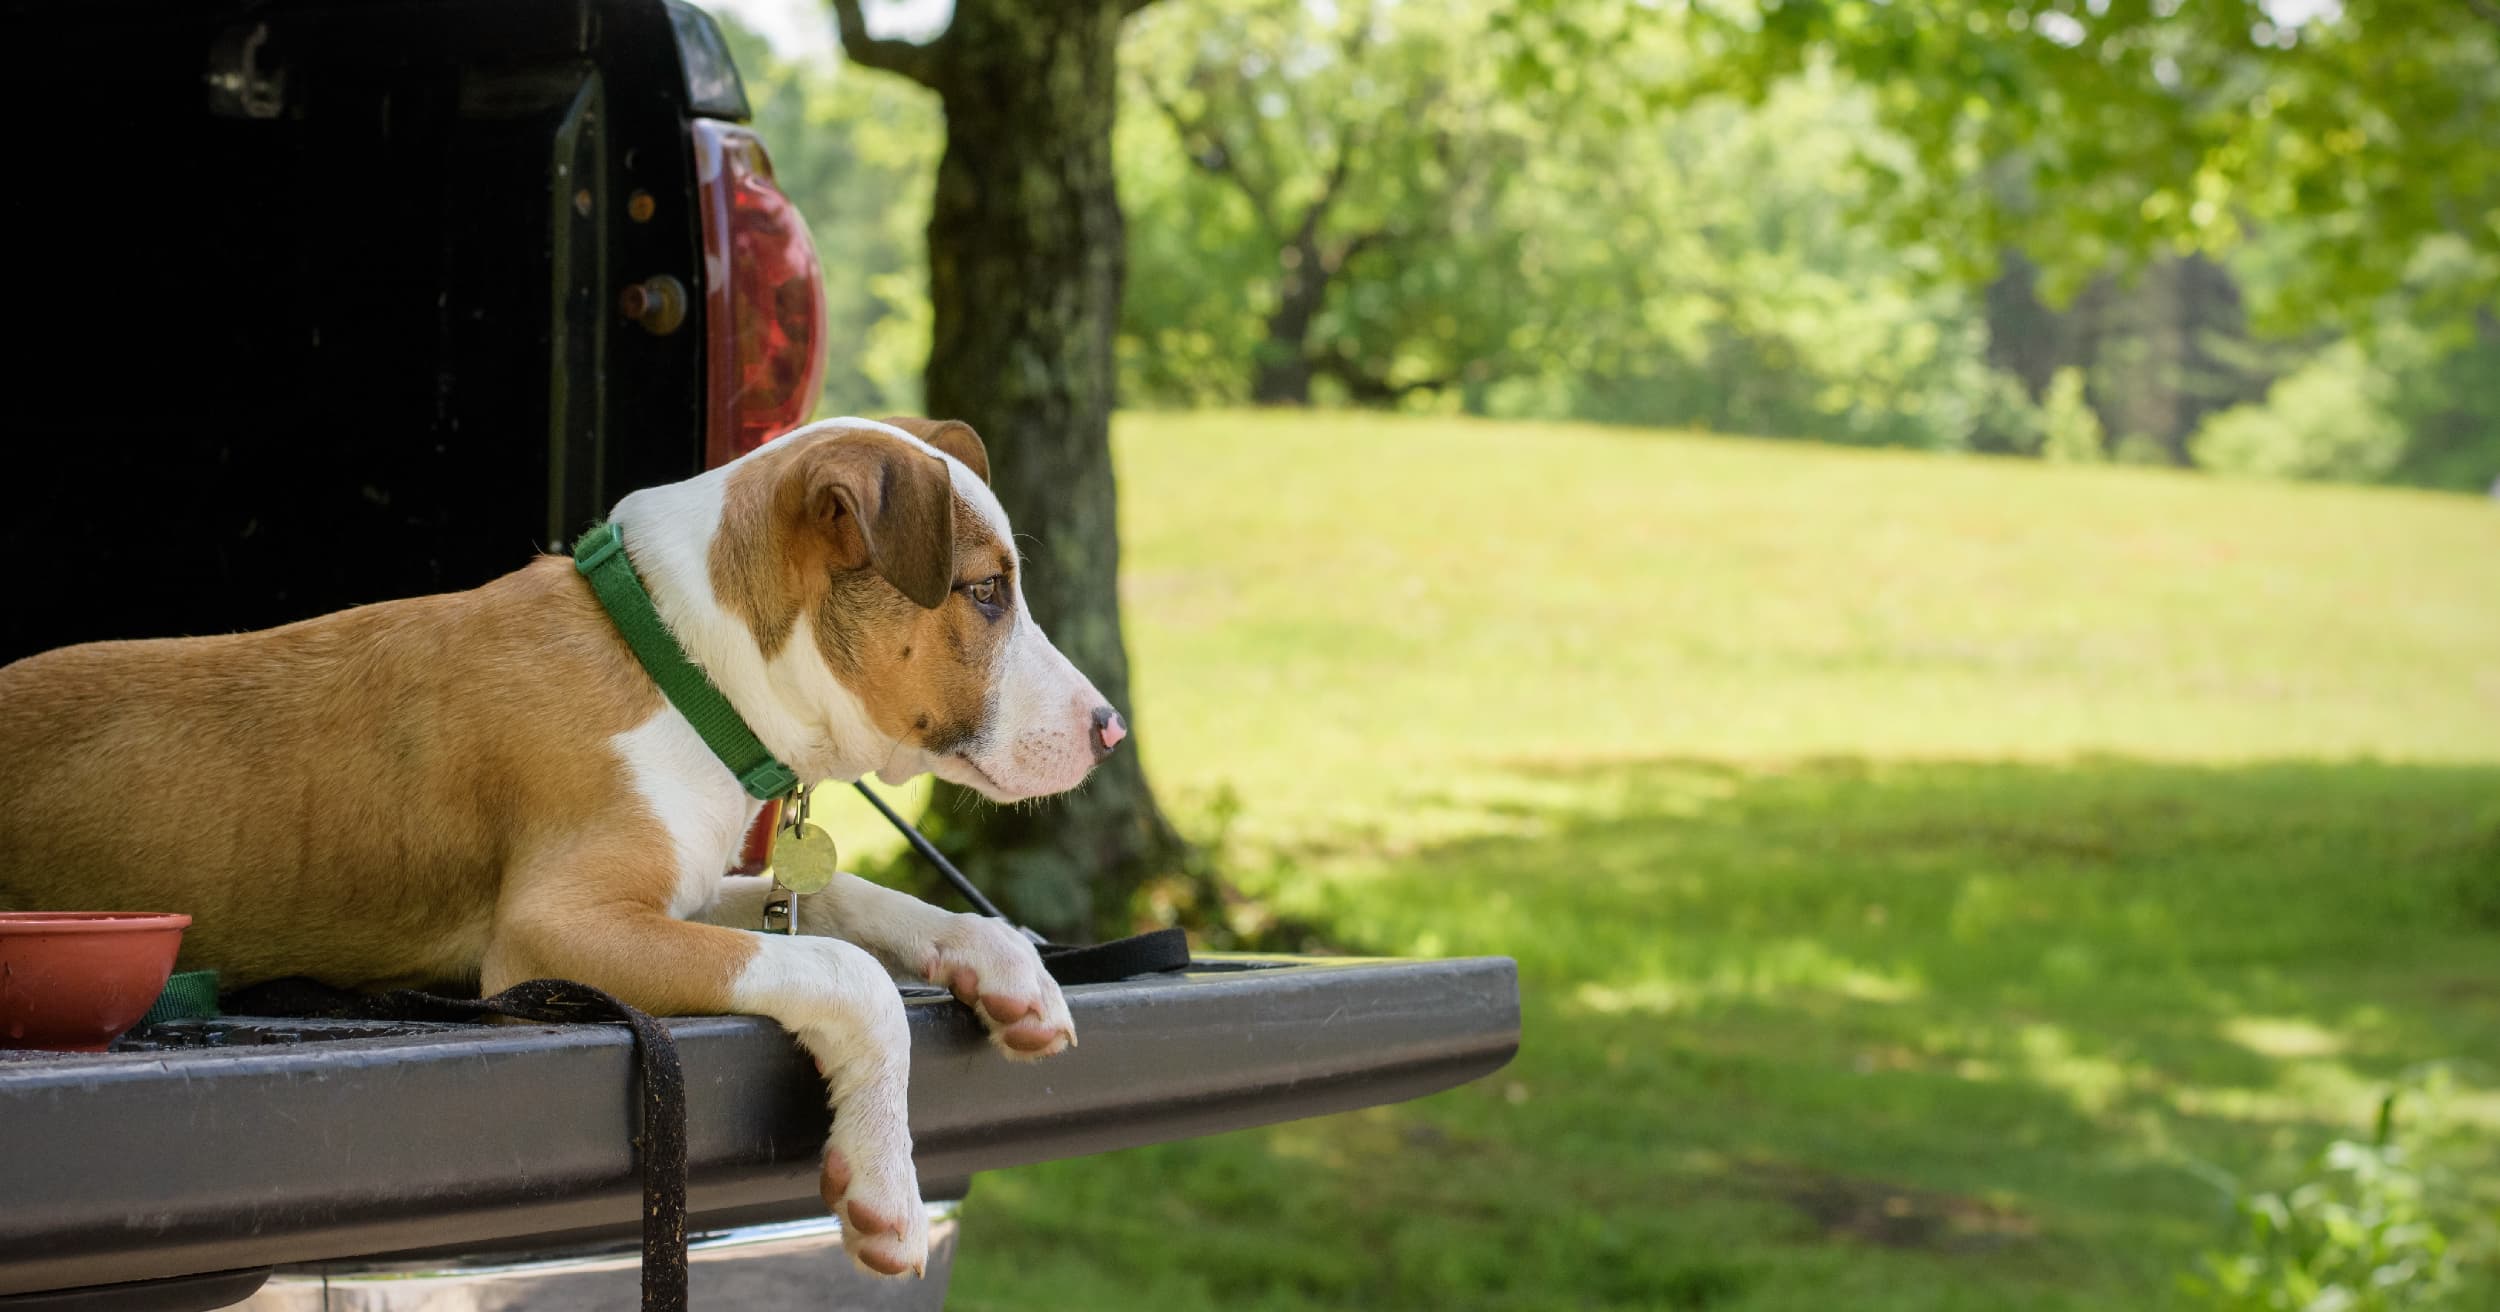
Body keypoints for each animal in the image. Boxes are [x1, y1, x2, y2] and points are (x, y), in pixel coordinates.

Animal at [0, 414, 1125, 1274]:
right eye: (985, 593)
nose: (1111, 729)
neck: (677, 659)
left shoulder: (680, 886)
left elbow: (846, 905)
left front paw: (1001, 960)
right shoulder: (558, 928)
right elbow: (846, 971)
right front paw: (885, 1181)